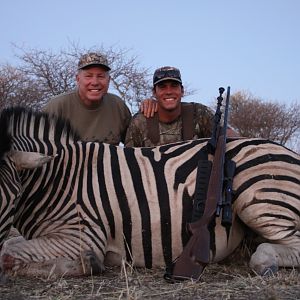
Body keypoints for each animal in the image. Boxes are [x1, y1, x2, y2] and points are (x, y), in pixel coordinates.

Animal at [0, 106, 298, 278]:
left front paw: (87, 264)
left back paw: (265, 261)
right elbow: (10, 245)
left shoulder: (80, 235)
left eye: (13, 197)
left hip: (259, 199)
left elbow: (6, 253)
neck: (57, 177)